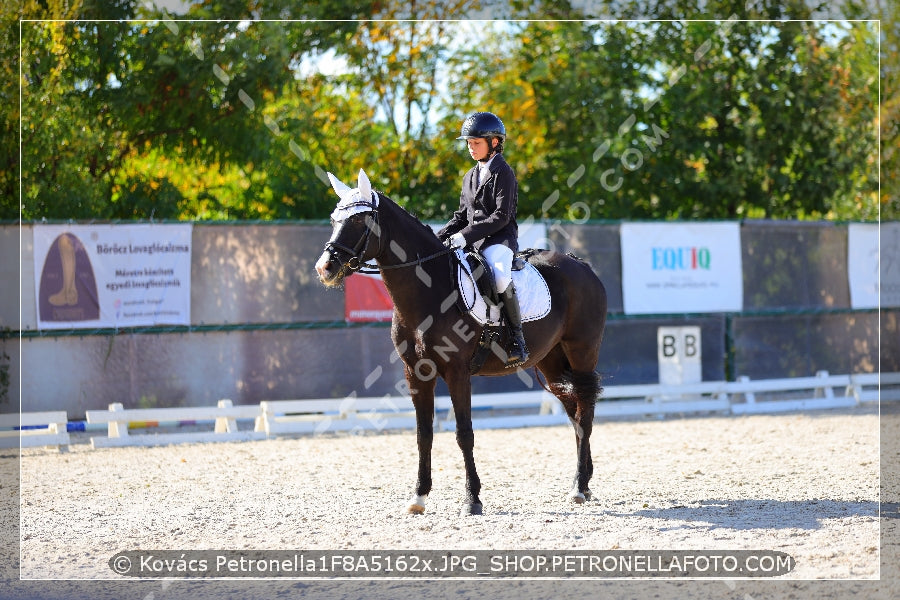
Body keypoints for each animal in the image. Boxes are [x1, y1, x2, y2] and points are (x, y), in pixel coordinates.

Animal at [312, 169, 608, 516]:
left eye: (359, 221)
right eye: (334, 219)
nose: (325, 268)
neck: (429, 290)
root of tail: (581, 265)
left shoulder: (457, 372)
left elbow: (464, 433)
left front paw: (473, 498)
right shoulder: (416, 373)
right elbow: (423, 434)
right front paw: (419, 496)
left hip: (581, 350)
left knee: (585, 411)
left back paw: (579, 487)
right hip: (551, 361)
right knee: (574, 411)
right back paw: (582, 483)